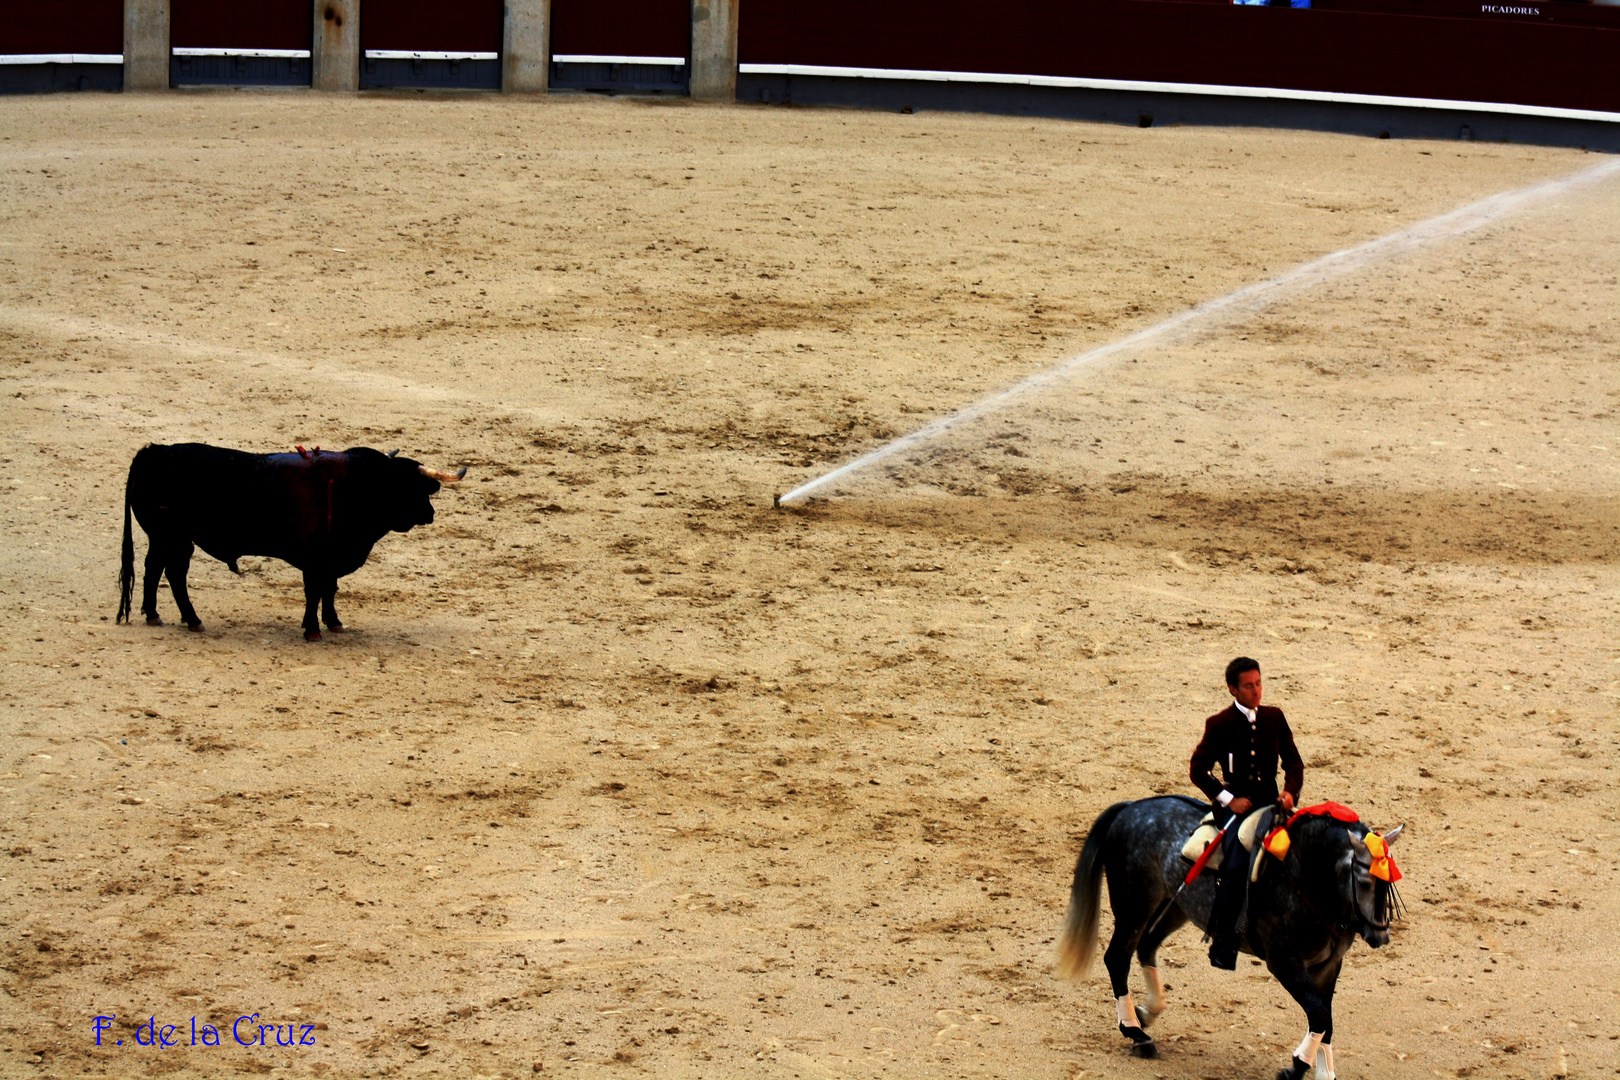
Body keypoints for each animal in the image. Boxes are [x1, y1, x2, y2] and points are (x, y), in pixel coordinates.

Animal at [118, 440, 463, 637]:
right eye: (409, 486)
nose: (430, 513)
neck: (357, 486)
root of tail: (154, 452)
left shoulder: (331, 560)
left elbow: (329, 590)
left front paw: (333, 622)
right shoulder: (315, 559)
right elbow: (314, 591)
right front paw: (312, 629)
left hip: (166, 537)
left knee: (156, 569)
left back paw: (155, 615)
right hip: (171, 536)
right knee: (171, 572)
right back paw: (190, 619)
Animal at [1056, 793, 1399, 1080]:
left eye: (1389, 883)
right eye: (1364, 881)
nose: (1380, 936)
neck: (1305, 878)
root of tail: (1130, 808)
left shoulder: (1328, 966)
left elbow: (1326, 1019)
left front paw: (1322, 1072)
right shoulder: (1285, 963)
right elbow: (1319, 1014)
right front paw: (1295, 1068)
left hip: (1175, 906)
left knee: (1146, 947)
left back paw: (1146, 1013)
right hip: (1134, 904)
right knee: (1117, 957)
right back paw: (1137, 1034)